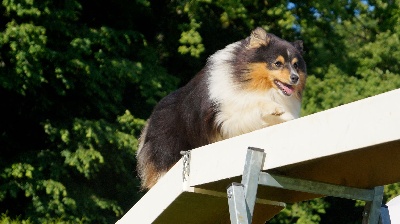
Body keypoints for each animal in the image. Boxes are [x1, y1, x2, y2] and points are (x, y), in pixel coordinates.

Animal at [137, 27, 306, 190]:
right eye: (277, 63)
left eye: (296, 65)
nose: (295, 78)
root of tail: (152, 117)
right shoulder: (228, 114)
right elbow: (254, 103)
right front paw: (275, 108)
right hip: (167, 152)